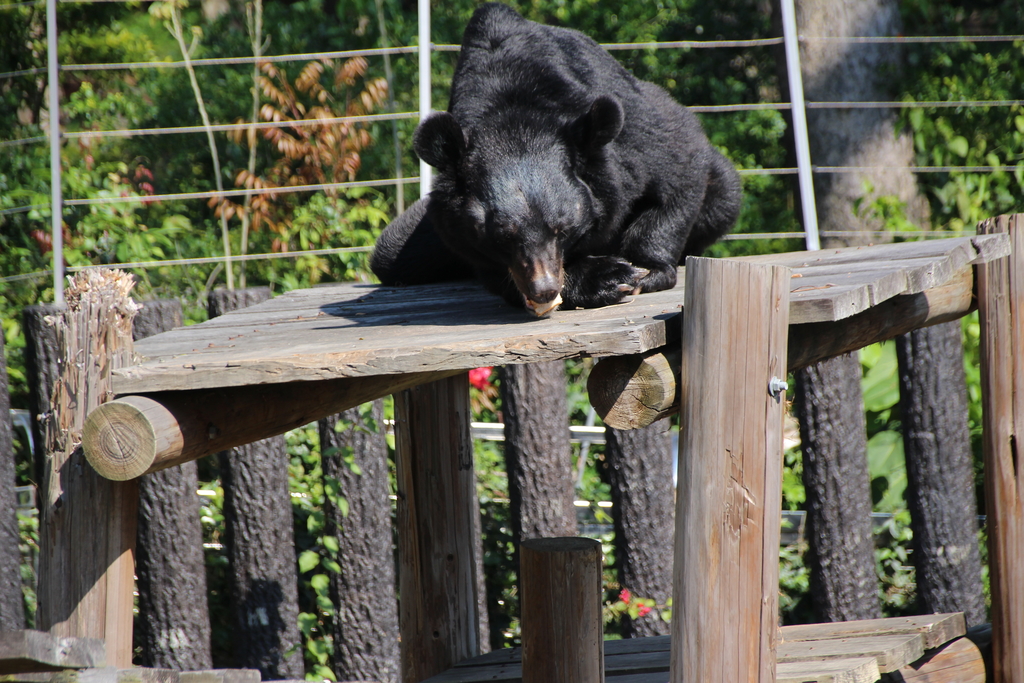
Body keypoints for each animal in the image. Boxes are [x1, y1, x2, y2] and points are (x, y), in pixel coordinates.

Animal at [372, 2, 741, 317]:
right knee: (389, 254)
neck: (513, 107)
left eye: (561, 229)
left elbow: (680, 164)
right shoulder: (458, 232)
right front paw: (605, 277)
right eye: (502, 237)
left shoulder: (635, 137)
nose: (544, 289)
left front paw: (643, 269)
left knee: (724, 192)